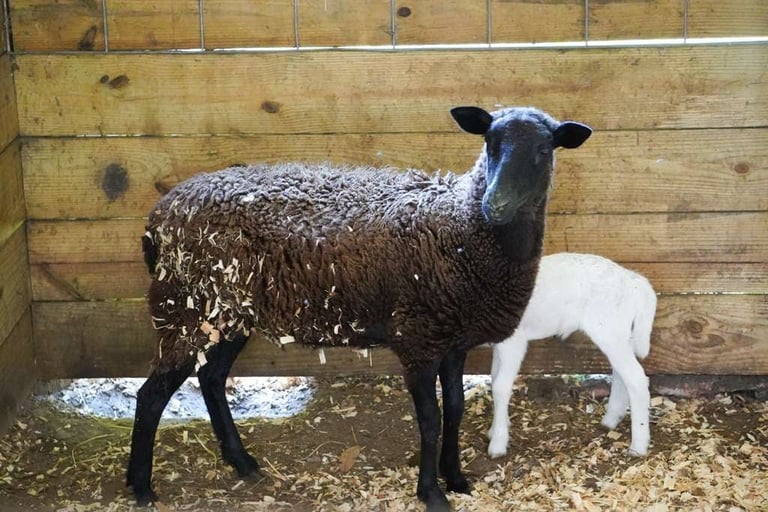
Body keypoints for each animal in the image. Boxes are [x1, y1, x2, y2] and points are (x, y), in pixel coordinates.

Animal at [126, 105, 592, 511]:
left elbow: (456, 408)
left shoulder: (453, 340)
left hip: (226, 315)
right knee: (152, 395)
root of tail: (158, 217)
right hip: (186, 309)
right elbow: (430, 418)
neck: (461, 225)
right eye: (490, 143)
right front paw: (432, 493)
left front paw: (457, 479)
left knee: (211, 378)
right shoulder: (418, 338)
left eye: (544, 149)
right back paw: (141, 487)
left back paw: (243, 464)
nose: (495, 205)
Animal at [486, 252, 657, 460]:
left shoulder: (513, 340)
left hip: (609, 330)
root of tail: (633, 280)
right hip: (618, 333)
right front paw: (494, 430)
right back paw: (611, 419)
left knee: (636, 379)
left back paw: (638, 446)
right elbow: (494, 379)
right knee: (622, 373)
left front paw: (497, 444)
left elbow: (500, 387)